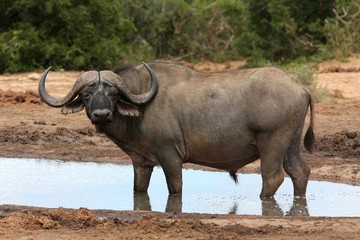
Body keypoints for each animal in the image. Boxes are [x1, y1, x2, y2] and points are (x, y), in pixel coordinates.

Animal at [39, 62, 314, 199]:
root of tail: (299, 87)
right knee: (299, 172)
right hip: (290, 144)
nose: (101, 114)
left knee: (273, 177)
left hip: (272, 144)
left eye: (113, 94)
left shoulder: (170, 157)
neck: (143, 105)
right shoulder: (141, 163)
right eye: (87, 95)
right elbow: (139, 190)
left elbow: (175, 188)